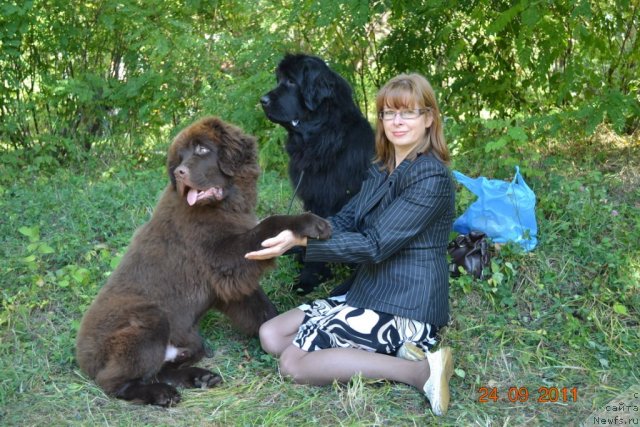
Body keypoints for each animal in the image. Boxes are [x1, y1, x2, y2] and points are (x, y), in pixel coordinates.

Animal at [76, 115, 330, 406]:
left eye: (201, 149)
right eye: (180, 157)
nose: (179, 173)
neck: (225, 204)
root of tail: (84, 358)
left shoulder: (229, 282)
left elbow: (262, 310)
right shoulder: (223, 256)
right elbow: (270, 223)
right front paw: (311, 223)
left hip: (190, 339)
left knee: (162, 368)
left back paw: (199, 377)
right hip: (151, 319)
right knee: (115, 382)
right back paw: (161, 394)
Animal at [260, 53, 376, 294]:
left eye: (291, 82)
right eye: (279, 80)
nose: (262, 100)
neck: (324, 139)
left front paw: (308, 279)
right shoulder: (313, 199)